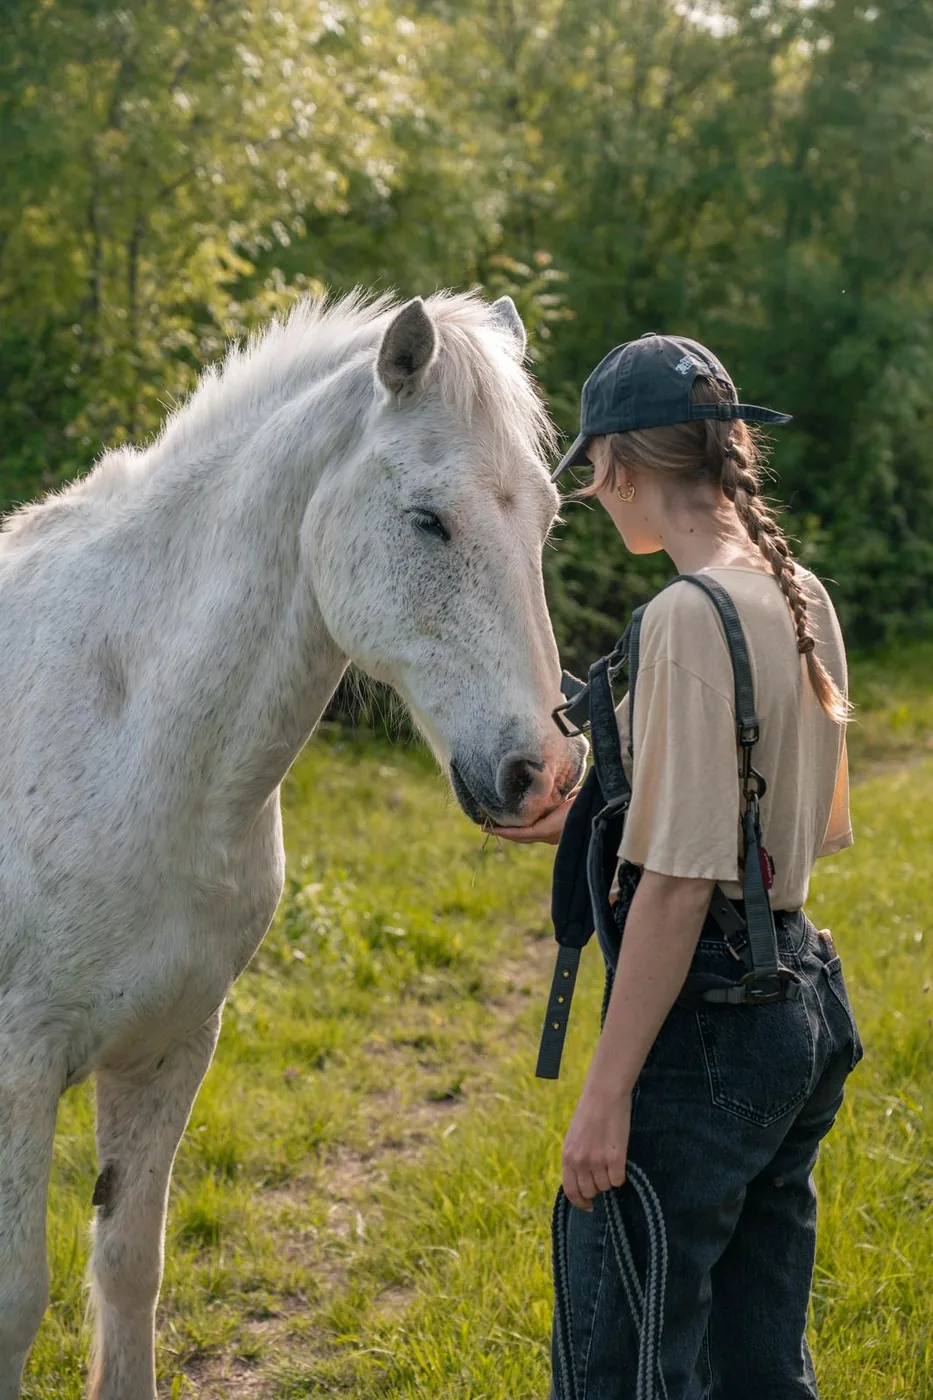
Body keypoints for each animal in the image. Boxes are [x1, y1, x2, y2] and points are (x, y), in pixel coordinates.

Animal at [0, 290, 587, 1398]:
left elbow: (129, 1266)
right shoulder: (17, 1067)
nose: (542, 774)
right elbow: (17, 1300)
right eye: (427, 519)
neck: (121, 716)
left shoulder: (170, 1046)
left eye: (544, 519)